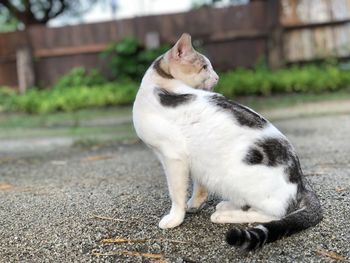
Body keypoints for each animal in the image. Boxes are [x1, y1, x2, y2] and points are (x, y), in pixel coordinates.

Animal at [132, 33, 322, 252]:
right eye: (204, 67)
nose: (217, 77)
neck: (160, 85)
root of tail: (300, 182)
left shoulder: (173, 158)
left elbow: (176, 193)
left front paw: (175, 218)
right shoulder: (194, 159)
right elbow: (198, 186)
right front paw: (194, 204)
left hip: (236, 180)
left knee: (273, 215)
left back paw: (225, 215)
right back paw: (227, 205)